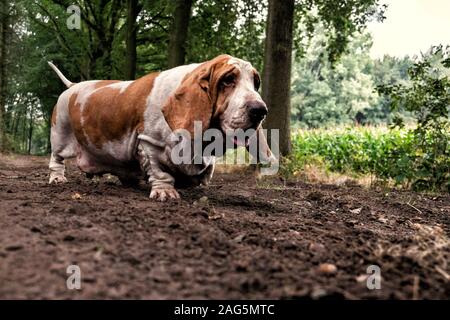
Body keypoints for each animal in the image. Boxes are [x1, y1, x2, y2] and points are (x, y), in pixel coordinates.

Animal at [48, 54, 274, 201]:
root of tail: (73, 86)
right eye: (228, 80)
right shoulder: (149, 143)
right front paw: (165, 192)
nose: (260, 110)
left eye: (256, 82)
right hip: (61, 134)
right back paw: (57, 178)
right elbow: (160, 171)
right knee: (56, 159)